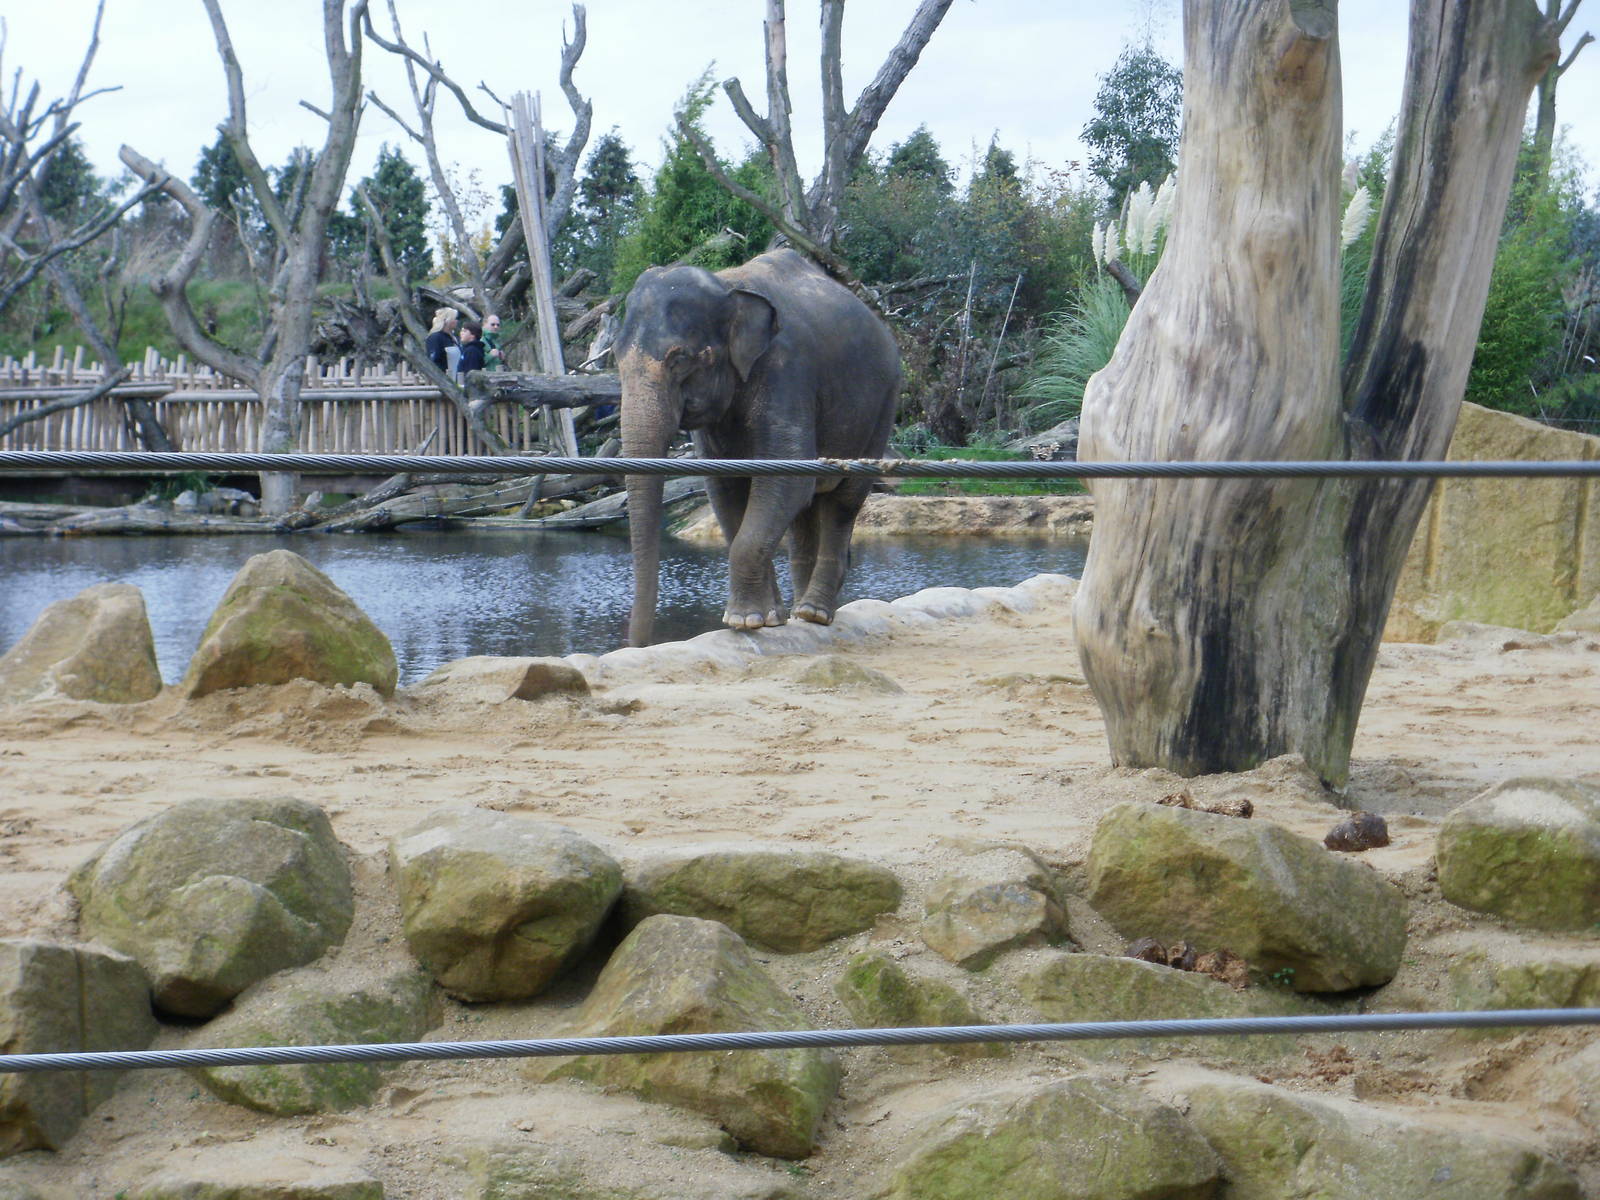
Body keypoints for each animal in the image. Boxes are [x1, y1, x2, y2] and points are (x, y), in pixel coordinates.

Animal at [618, 248, 901, 647]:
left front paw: (743, 620)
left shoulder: (787, 371)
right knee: (805, 512)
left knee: (843, 501)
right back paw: (799, 615)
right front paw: (765, 619)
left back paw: (815, 614)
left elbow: (785, 478)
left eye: (679, 360)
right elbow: (726, 489)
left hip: (884, 404)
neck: (726, 284)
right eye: (615, 358)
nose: (640, 645)